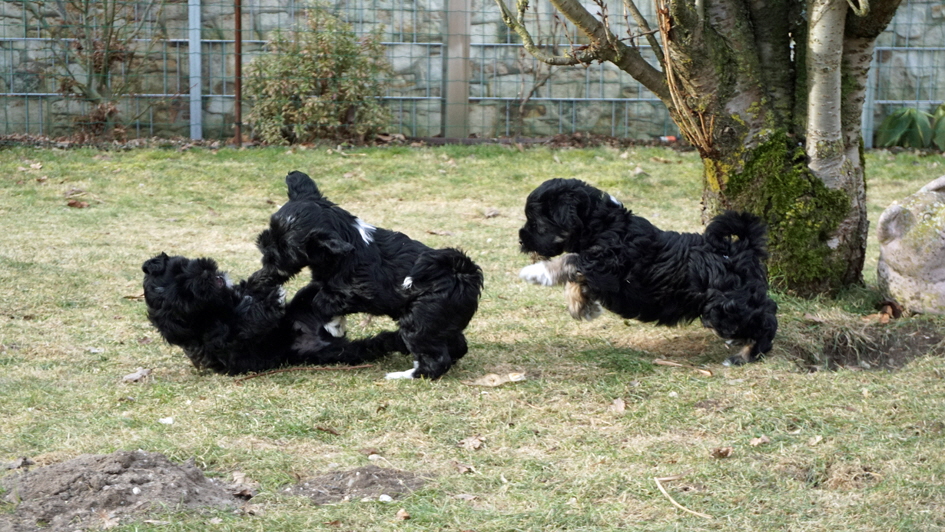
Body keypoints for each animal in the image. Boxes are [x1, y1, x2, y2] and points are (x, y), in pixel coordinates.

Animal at [141, 252, 406, 374]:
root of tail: (317, 333)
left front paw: (266, 280)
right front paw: (269, 302)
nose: (204, 274)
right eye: (188, 295)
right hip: (332, 353)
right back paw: (396, 340)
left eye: (181, 268)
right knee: (369, 345)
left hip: (307, 303)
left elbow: (253, 285)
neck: (221, 305)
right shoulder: (227, 340)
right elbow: (246, 325)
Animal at [254, 170, 484, 378]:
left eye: (287, 249)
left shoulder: (360, 290)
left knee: (436, 359)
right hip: (442, 322)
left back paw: (404, 375)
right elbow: (321, 297)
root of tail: (463, 272)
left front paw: (334, 326)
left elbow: (322, 301)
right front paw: (336, 323)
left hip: (420, 320)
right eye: (271, 227)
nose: (264, 249)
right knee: (457, 345)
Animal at [520, 179, 780, 366]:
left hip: (723, 307)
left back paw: (745, 355)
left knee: (765, 319)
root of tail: (741, 248)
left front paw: (535, 272)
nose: (520, 239)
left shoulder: (606, 263)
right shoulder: (599, 271)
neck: (601, 223)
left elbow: (570, 260)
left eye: (536, 223)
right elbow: (575, 280)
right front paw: (583, 308)